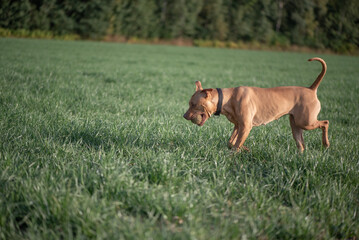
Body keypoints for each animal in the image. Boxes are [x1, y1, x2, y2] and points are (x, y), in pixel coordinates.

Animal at [184, 57, 330, 152]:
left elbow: (235, 146)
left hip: (306, 121)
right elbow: (231, 142)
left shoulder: (246, 126)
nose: (184, 116)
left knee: (325, 123)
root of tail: (311, 89)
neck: (227, 98)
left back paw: (326, 143)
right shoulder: (238, 126)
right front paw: (245, 148)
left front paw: (234, 155)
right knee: (301, 144)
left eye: (193, 104)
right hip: (296, 125)